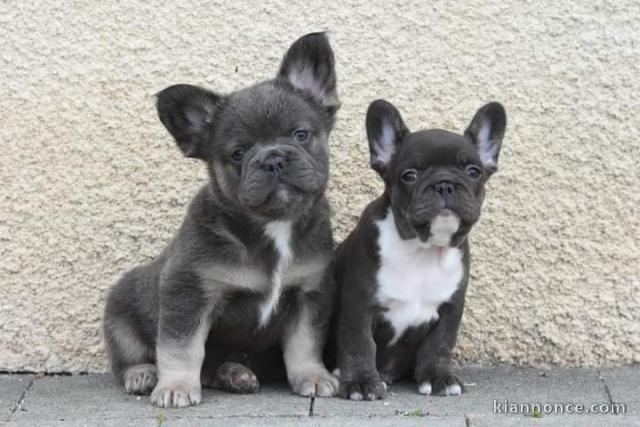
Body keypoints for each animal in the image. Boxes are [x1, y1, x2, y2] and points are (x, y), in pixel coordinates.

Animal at [104, 32, 342, 408]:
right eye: (238, 154)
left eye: (300, 135)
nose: (273, 159)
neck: (272, 226)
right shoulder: (188, 291)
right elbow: (181, 347)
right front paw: (176, 386)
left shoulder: (310, 291)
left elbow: (305, 342)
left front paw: (312, 376)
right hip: (120, 313)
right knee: (128, 356)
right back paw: (142, 374)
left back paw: (235, 374)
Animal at [336, 100, 504, 402]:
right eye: (409, 175)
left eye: (474, 172)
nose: (445, 184)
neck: (422, 249)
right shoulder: (359, 304)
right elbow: (359, 343)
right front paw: (361, 382)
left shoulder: (450, 308)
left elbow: (439, 345)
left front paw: (438, 378)